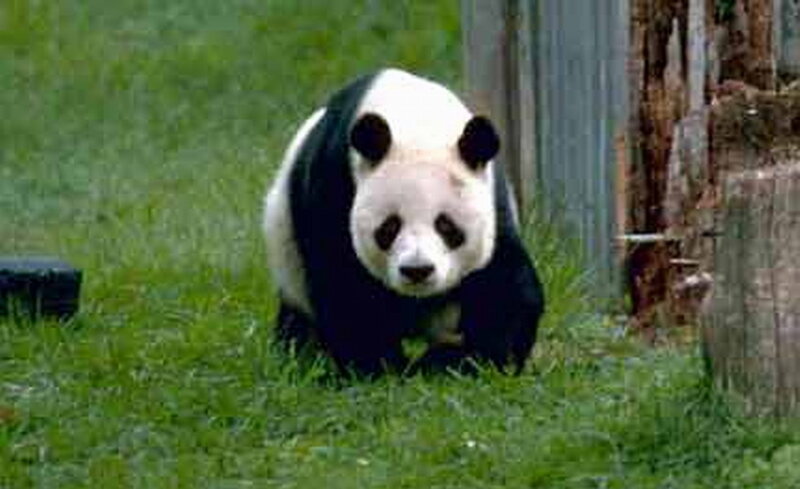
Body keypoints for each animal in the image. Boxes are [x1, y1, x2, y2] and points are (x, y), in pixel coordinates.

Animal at [263, 68, 544, 376]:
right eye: (389, 227)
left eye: (446, 226)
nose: (417, 270)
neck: (415, 123)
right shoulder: (333, 185)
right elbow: (346, 288)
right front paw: (376, 367)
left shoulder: (494, 202)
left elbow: (502, 285)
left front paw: (472, 360)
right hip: (289, 259)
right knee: (298, 318)